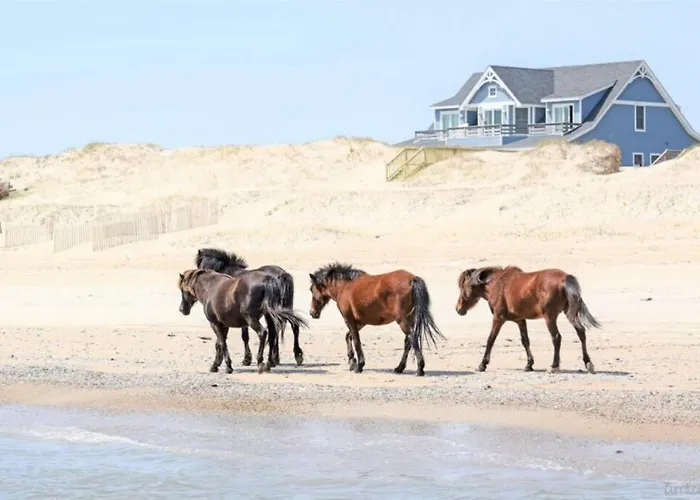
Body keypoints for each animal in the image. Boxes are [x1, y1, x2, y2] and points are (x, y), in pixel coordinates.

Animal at [178, 268, 308, 374]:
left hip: (252, 320)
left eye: (182, 290)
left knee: (263, 333)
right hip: (269, 316)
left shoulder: (215, 324)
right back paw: (269, 363)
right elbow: (219, 344)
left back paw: (261, 363)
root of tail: (267, 279)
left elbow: (222, 343)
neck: (210, 288)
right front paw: (216, 364)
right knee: (272, 334)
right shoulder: (224, 325)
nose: (182, 309)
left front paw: (228, 366)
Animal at [308, 262, 444, 376]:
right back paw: (399, 368)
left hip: (402, 321)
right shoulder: (360, 322)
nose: (312, 313)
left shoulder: (349, 319)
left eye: (311, 289)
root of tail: (412, 279)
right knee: (408, 342)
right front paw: (352, 361)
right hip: (409, 319)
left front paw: (359, 365)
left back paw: (419, 369)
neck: (345, 286)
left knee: (413, 339)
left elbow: (356, 341)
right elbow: (348, 337)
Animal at [455, 265, 600, 374]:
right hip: (569, 313)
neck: (496, 284)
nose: (458, 309)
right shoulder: (520, 320)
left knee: (556, 337)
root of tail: (565, 278)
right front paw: (529, 365)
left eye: (463, 287)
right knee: (581, 332)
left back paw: (554, 366)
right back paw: (588, 363)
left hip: (550, 317)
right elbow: (525, 341)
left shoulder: (498, 318)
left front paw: (482, 364)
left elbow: (491, 339)